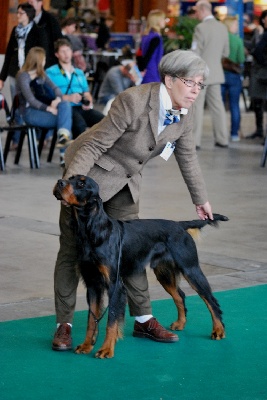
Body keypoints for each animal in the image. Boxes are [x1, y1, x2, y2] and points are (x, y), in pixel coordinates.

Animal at [54, 175, 228, 360]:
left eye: (81, 183)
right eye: (70, 178)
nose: (59, 182)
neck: (92, 231)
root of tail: (179, 225)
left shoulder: (115, 286)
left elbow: (111, 320)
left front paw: (106, 349)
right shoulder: (93, 284)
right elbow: (91, 320)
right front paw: (87, 345)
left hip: (191, 268)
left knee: (210, 299)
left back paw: (218, 330)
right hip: (164, 272)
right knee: (180, 295)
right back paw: (180, 323)